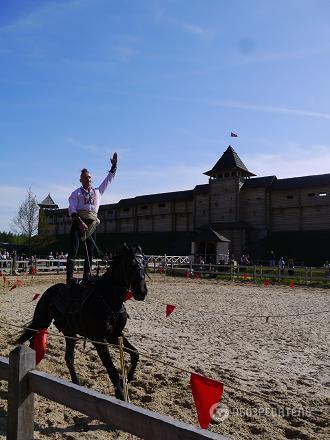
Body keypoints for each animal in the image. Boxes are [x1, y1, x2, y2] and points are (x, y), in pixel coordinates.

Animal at [15, 244, 147, 402]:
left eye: (144, 264)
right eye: (130, 265)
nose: (142, 292)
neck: (108, 299)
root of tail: (49, 291)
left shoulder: (115, 335)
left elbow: (135, 353)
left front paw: (128, 378)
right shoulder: (99, 340)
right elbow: (112, 369)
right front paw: (120, 395)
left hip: (69, 333)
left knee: (68, 358)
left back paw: (76, 383)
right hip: (41, 321)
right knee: (33, 339)